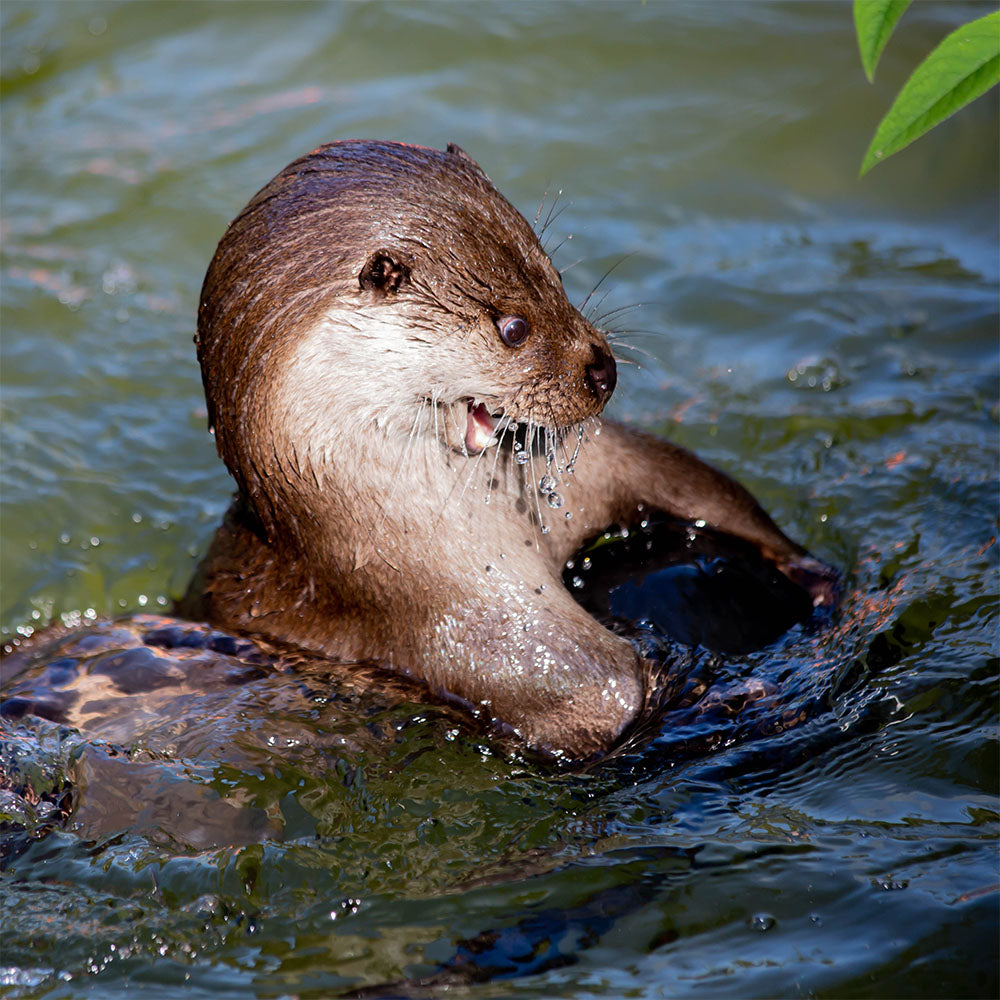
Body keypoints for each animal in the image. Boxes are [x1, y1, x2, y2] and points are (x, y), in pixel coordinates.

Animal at [173, 139, 836, 759]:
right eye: (512, 329)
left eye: (555, 277)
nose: (602, 370)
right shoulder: (519, 661)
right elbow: (626, 701)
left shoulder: (606, 471)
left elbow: (697, 488)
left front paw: (814, 578)